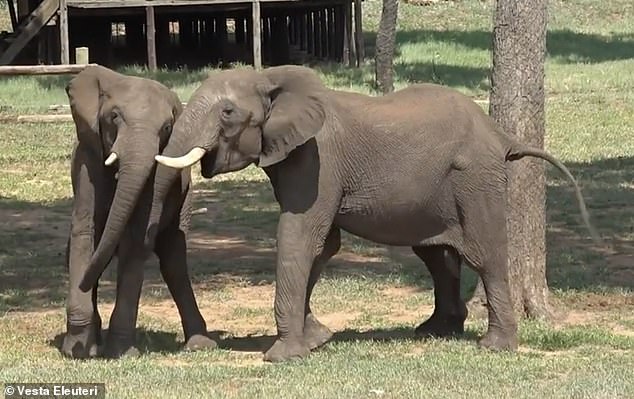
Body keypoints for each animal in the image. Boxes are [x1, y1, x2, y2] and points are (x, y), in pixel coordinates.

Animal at [61, 65, 215, 360]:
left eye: (166, 128)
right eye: (114, 116)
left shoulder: (157, 178)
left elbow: (136, 240)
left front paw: (120, 352)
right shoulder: (87, 160)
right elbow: (85, 234)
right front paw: (78, 349)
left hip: (184, 201)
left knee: (174, 261)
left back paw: (200, 344)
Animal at [84, 65, 592, 362]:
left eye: (227, 112)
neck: (275, 80)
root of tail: (502, 136)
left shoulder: (316, 160)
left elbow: (299, 234)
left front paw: (282, 356)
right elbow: (320, 245)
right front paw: (317, 339)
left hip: (476, 178)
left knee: (484, 253)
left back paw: (495, 346)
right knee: (435, 254)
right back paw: (434, 332)